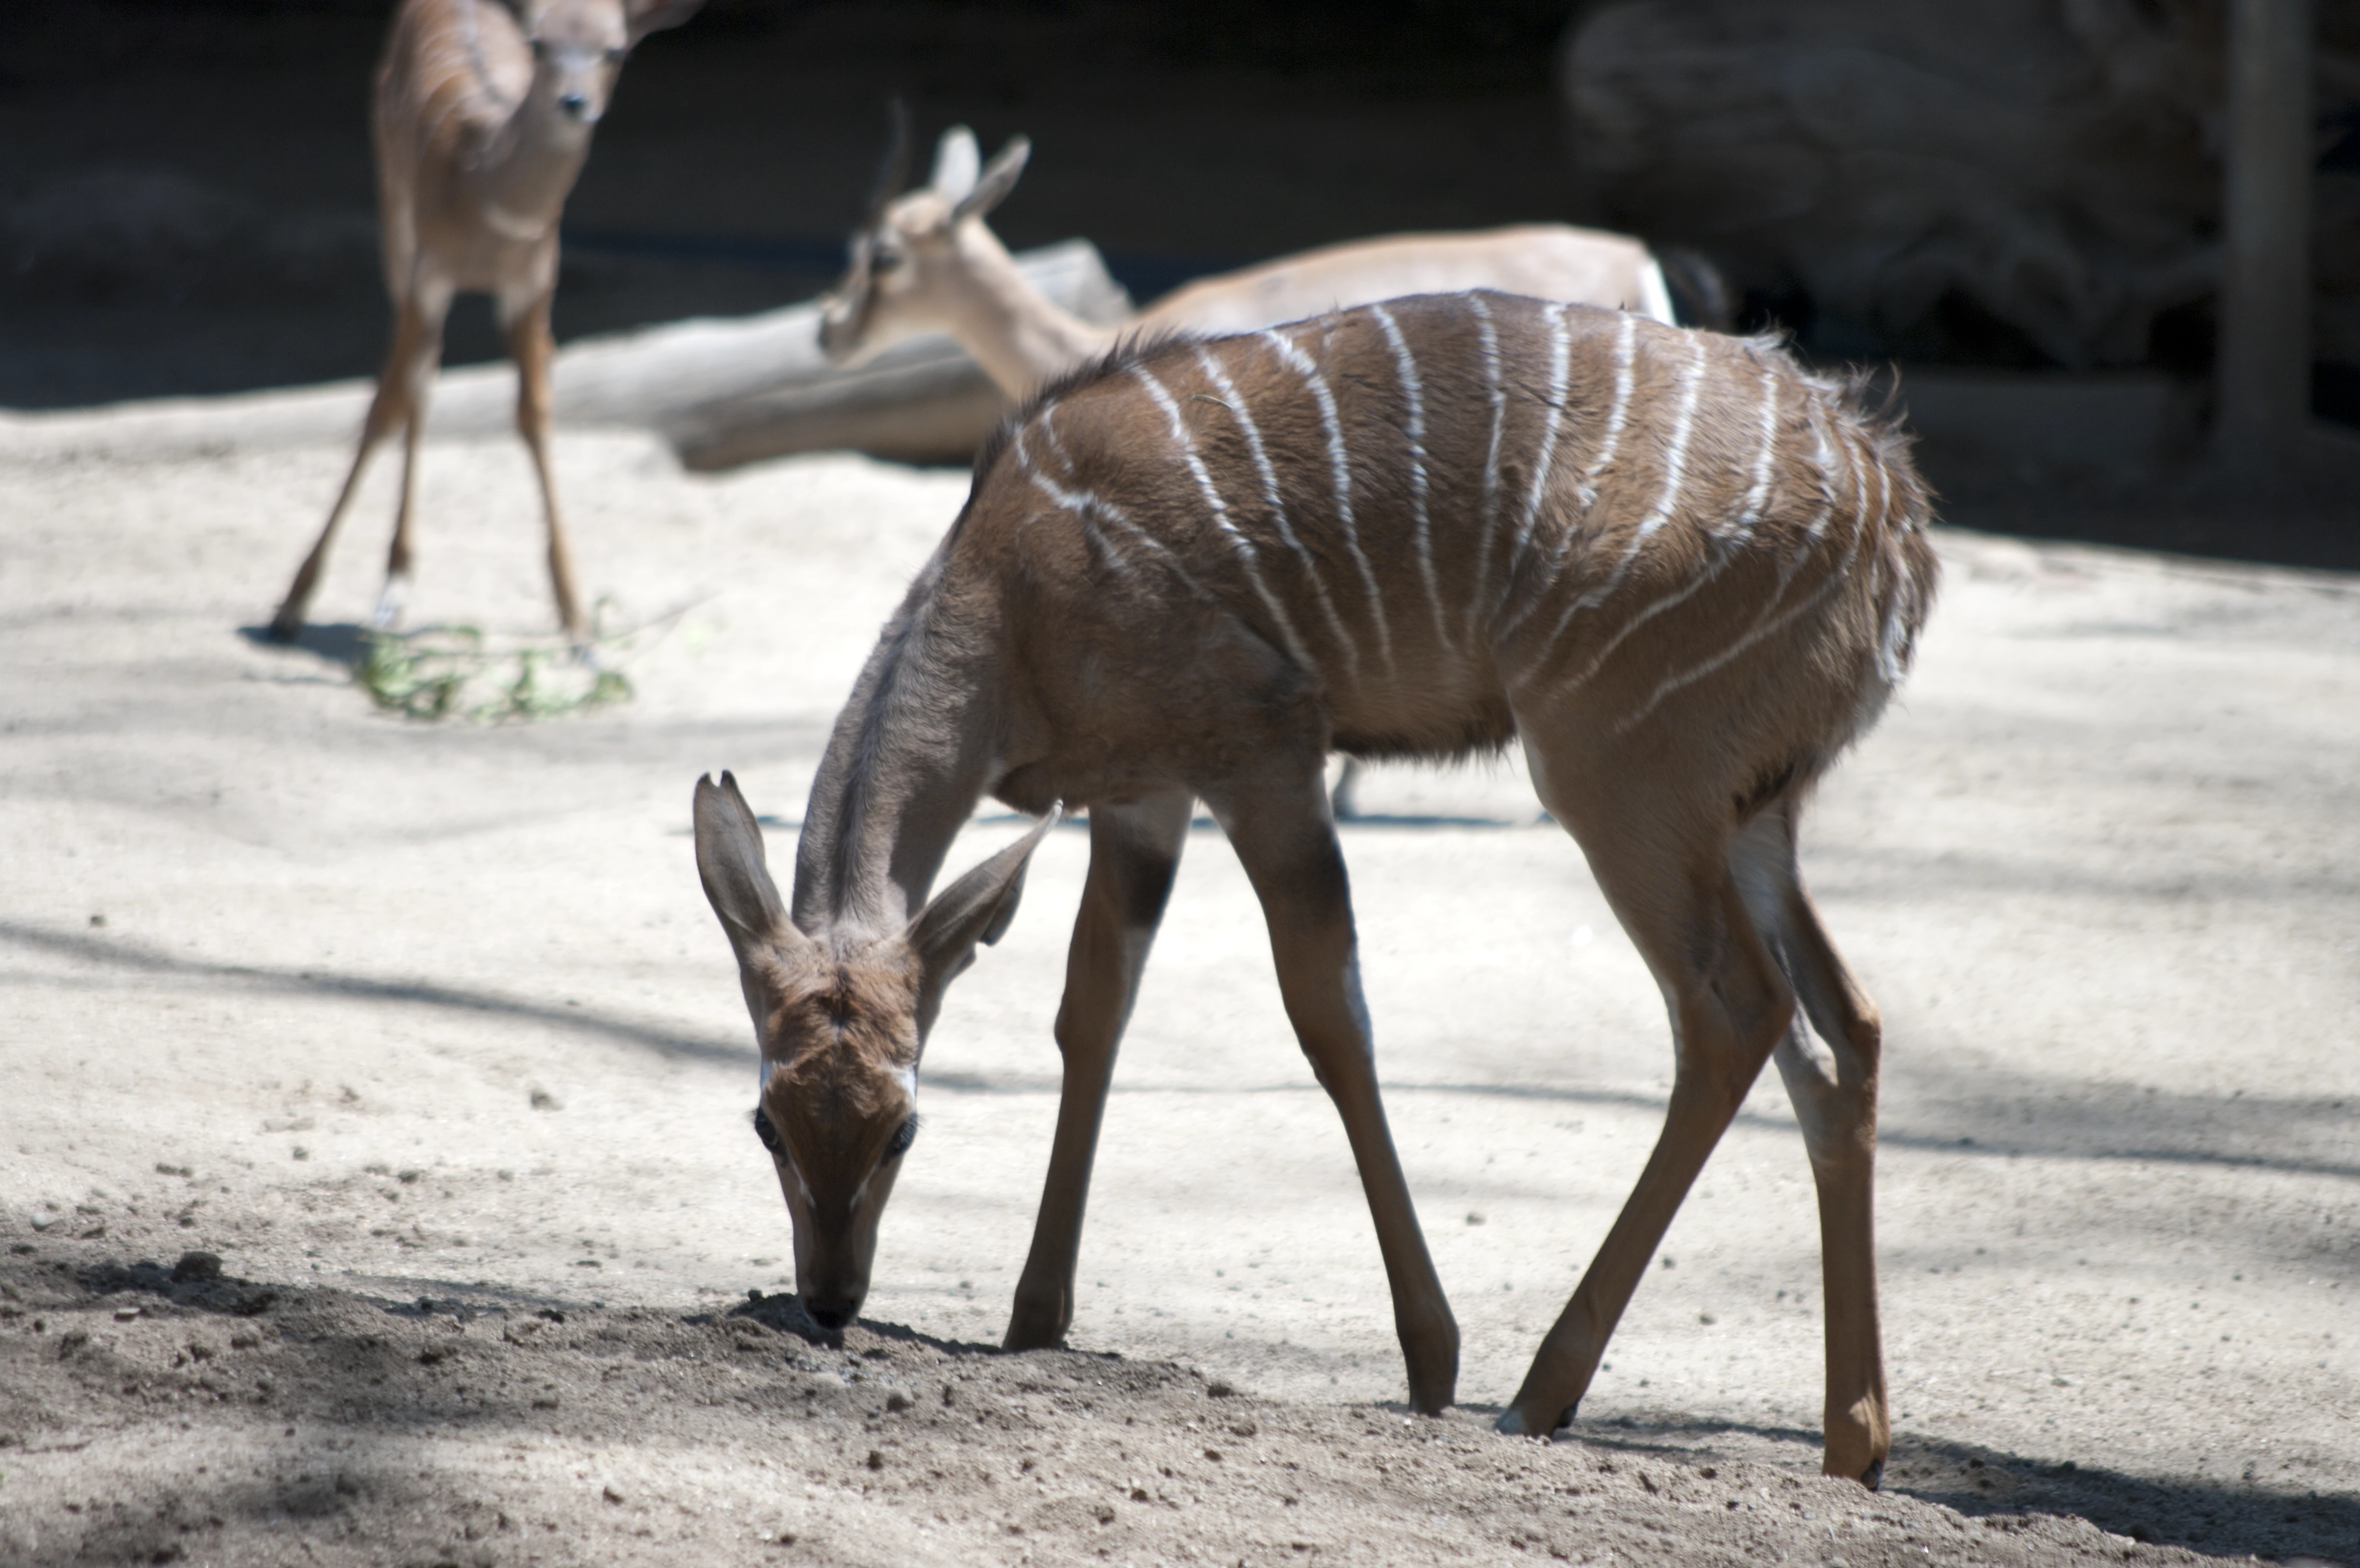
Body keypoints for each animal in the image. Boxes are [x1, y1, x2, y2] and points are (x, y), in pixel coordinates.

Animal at [267, 0, 701, 648]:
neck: (487, 193)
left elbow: (534, 416)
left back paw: (398, 582)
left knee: (449, 370)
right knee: (415, 381)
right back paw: (389, 588)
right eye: (541, 45)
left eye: (614, 50)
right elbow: (383, 410)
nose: (574, 102)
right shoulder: (429, 275)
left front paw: (579, 624)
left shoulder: (532, 285)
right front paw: (291, 605)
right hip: (393, 214)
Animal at [695, 291, 1936, 1485]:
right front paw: (1033, 1320)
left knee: (1733, 1014)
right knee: (1844, 1029)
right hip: (1746, 815)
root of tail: (1891, 512)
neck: (1012, 600)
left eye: (903, 1128)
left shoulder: (1263, 747)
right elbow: (1091, 1012)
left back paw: (1537, 1393)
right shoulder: (1143, 794)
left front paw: (1432, 1359)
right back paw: (1853, 1439)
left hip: (1613, 770)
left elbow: (1327, 1016)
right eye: (766, 1121)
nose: (829, 1299)